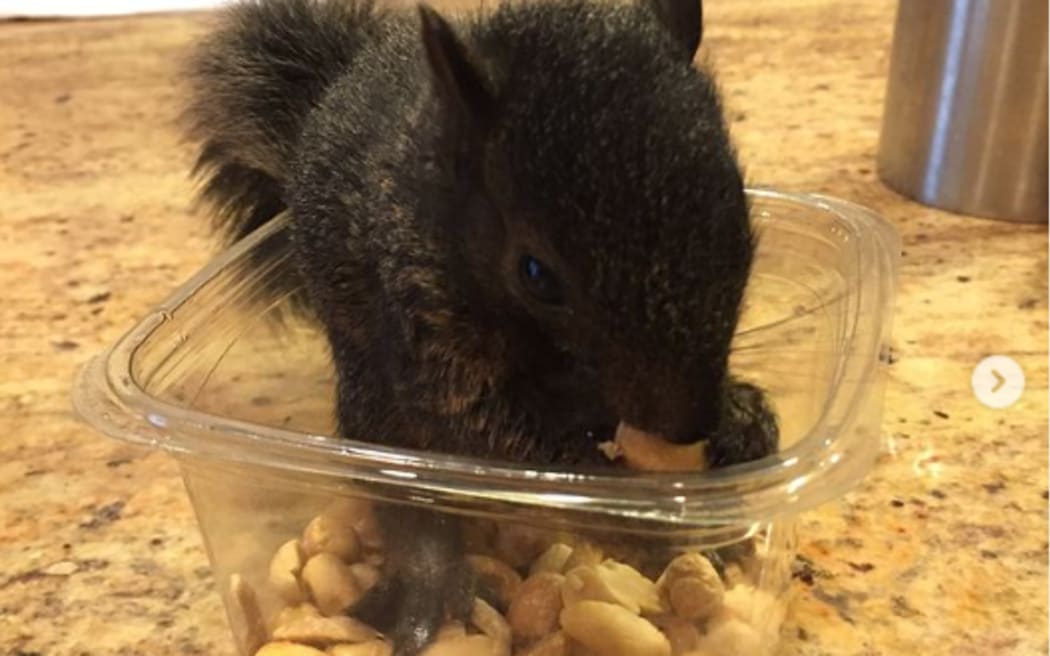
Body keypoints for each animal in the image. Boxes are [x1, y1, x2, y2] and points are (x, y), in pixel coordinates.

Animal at [183, 0, 779, 653]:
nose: (691, 423)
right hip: (372, 402)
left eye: (740, 210)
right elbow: (486, 431)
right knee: (407, 494)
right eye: (536, 273)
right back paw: (428, 586)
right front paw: (635, 511)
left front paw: (745, 419)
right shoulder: (423, 319)